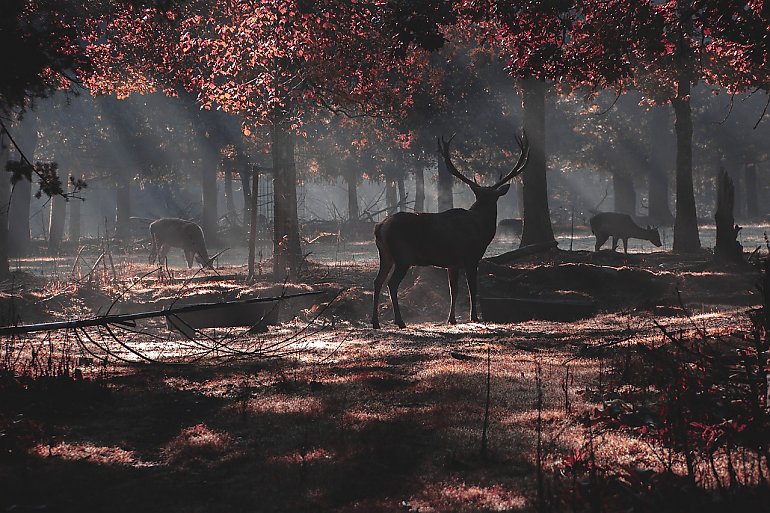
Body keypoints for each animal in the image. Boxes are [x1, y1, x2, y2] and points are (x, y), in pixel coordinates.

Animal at [372, 133, 528, 328]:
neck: (481, 229)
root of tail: (380, 227)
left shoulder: (452, 262)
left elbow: (453, 289)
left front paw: (451, 318)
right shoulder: (471, 257)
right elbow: (472, 287)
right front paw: (474, 317)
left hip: (385, 255)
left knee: (377, 281)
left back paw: (375, 322)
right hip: (403, 255)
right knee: (391, 284)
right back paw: (400, 321)